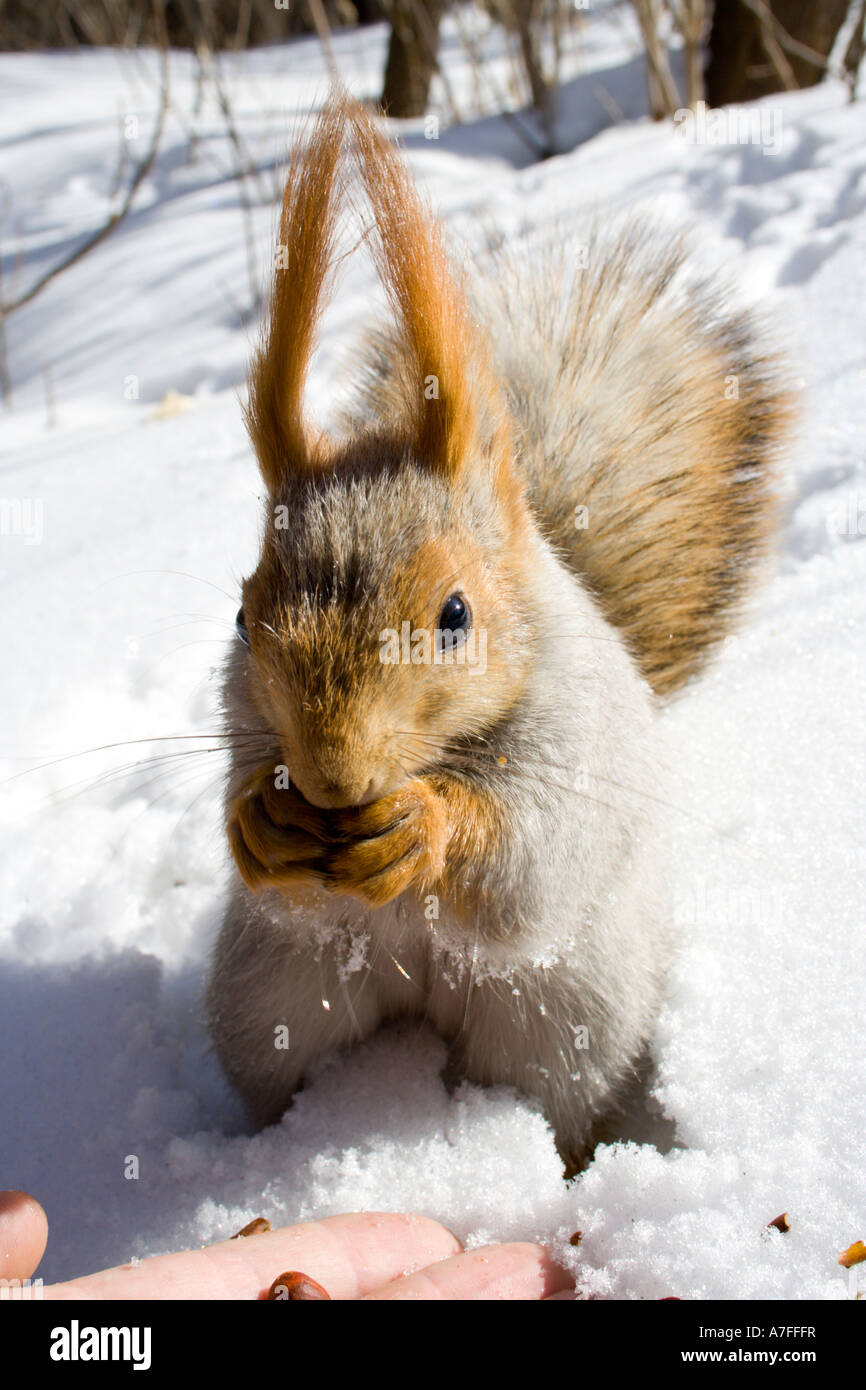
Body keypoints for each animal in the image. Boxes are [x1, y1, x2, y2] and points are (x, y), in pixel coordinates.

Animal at [202, 92, 795, 1167]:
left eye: (454, 615)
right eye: (240, 614)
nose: (331, 778)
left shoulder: (573, 749)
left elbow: (528, 867)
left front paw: (428, 823)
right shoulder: (242, 725)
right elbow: (267, 853)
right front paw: (266, 823)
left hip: (568, 1020)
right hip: (270, 1001)